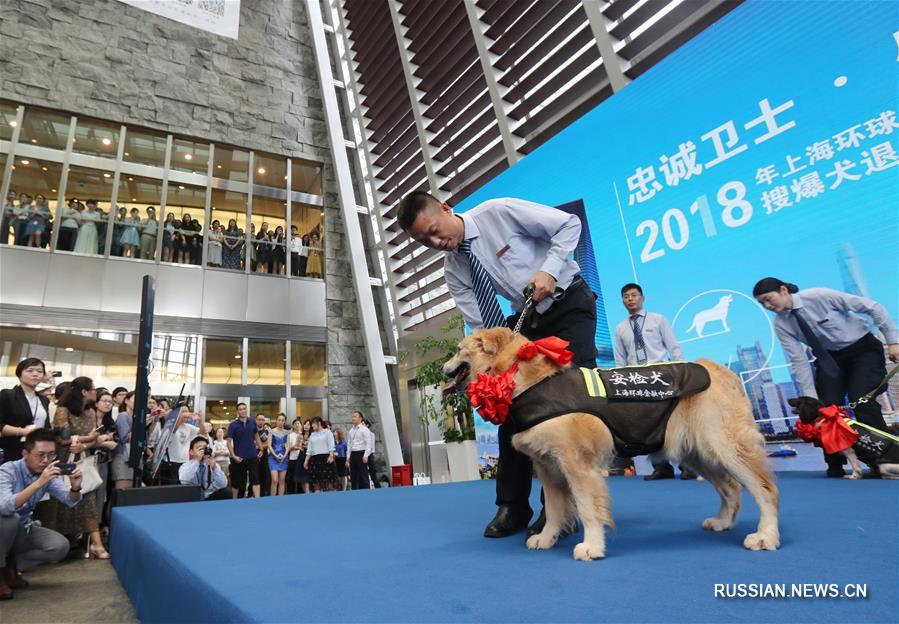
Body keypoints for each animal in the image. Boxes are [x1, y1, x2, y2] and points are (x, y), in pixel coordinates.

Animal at [444, 326, 780, 560]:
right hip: (696, 452)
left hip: (726, 446)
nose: (442, 370)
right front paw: (547, 538)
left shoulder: (576, 464)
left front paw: (592, 546)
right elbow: (553, 509)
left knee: (765, 490)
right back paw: (723, 521)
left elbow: (588, 508)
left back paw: (766, 536)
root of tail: (720, 370)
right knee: (731, 488)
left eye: (458, 351)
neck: (524, 379)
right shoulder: (547, 466)